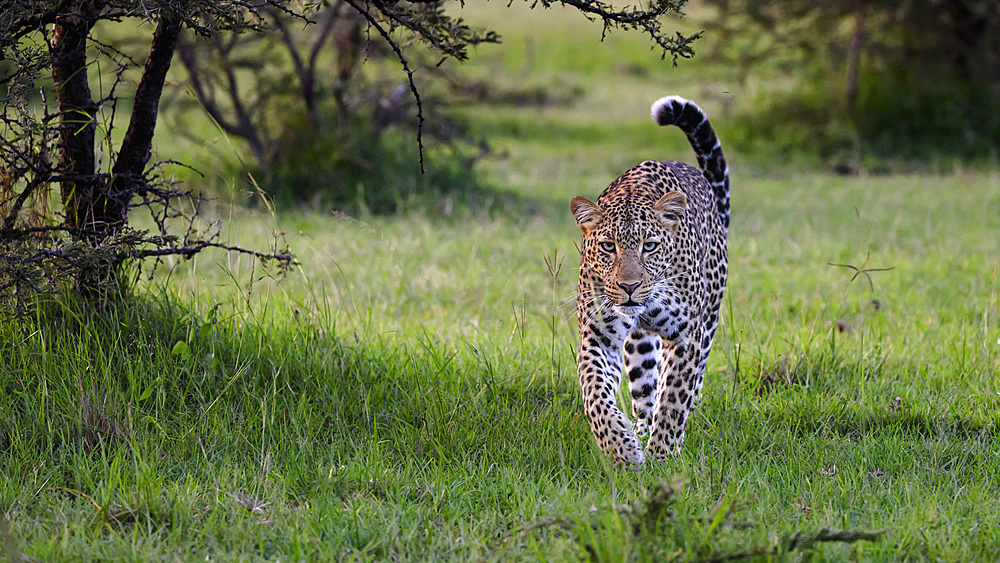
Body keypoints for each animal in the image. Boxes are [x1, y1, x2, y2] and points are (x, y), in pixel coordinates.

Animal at [572, 96, 728, 468]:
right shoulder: (599, 336)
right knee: (644, 388)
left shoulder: (687, 336)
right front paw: (623, 450)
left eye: (650, 246)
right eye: (608, 247)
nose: (629, 287)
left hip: (710, 315)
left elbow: (673, 399)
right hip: (639, 344)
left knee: (690, 383)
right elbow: (595, 393)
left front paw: (662, 457)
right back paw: (640, 431)